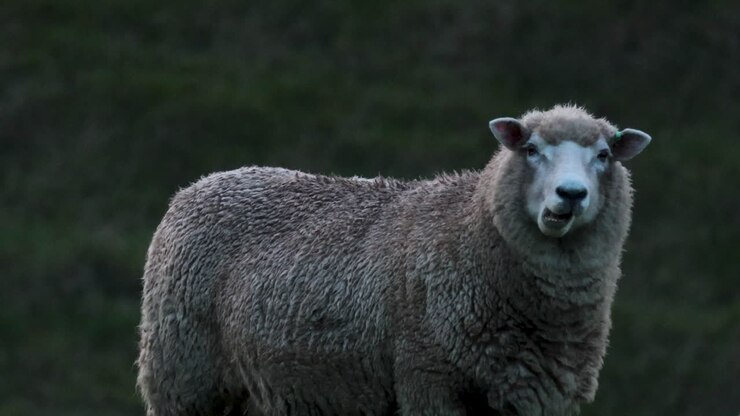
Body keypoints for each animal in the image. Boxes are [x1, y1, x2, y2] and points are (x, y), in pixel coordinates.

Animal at [136, 105, 651, 416]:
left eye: (604, 155)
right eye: (530, 149)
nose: (571, 195)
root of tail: (199, 184)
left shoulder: (536, 396)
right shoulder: (429, 379)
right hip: (184, 377)